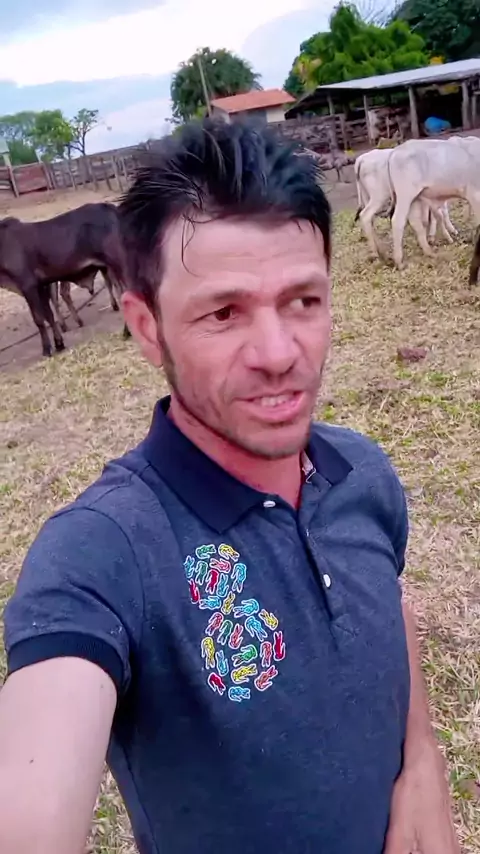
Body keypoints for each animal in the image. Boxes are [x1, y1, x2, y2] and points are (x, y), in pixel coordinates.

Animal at [0, 203, 128, 357]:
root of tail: (109, 207)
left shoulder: (27, 285)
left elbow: (39, 319)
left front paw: (46, 349)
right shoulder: (41, 286)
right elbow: (48, 316)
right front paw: (59, 343)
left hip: (116, 263)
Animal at [388, 136, 480, 269]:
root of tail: (395, 152)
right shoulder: (474, 193)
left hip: (416, 197)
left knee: (415, 221)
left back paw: (429, 251)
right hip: (405, 194)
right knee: (397, 221)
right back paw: (399, 261)